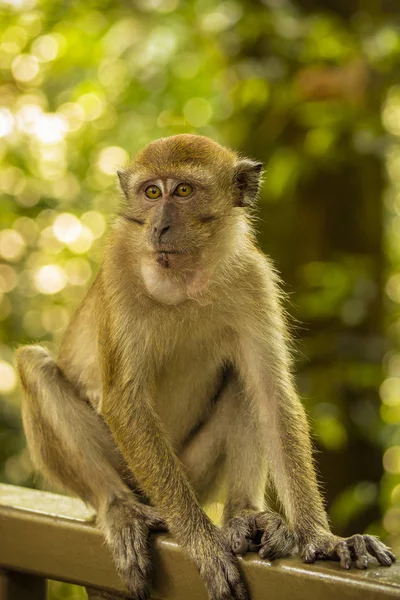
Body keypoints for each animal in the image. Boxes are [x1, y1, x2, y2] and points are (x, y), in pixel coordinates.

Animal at [14, 136, 394, 600]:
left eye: (183, 191)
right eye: (151, 193)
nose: (158, 227)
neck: (185, 280)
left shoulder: (254, 277)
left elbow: (270, 392)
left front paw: (322, 539)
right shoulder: (120, 265)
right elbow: (124, 402)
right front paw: (201, 541)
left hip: (194, 473)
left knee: (242, 381)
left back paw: (244, 514)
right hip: (139, 475)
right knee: (35, 366)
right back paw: (119, 508)